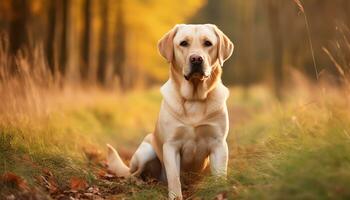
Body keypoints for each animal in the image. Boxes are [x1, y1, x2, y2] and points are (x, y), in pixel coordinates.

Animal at [106, 23, 232, 198]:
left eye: (208, 43)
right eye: (183, 43)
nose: (196, 59)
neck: (194, 98)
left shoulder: (219, 144)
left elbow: (220, 177)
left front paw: (219, 194)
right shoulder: (171, 146)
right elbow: (174, 178)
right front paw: (176, 196)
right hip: (146, 151)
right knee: (133, 173)